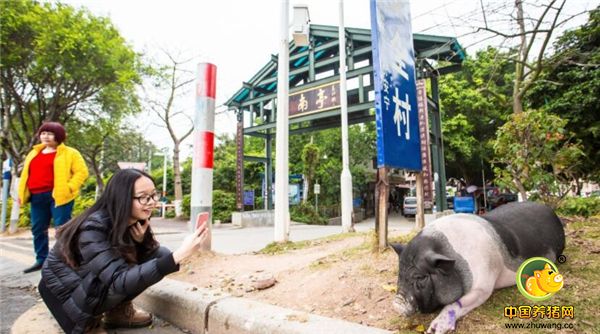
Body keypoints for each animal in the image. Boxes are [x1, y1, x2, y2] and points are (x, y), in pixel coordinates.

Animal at [392, 201, 564, 334]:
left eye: (420, 277)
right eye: (400, 273)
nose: (397, 302)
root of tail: (550, 211)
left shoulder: (483, 284)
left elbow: (456, 303)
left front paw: (433, 330)